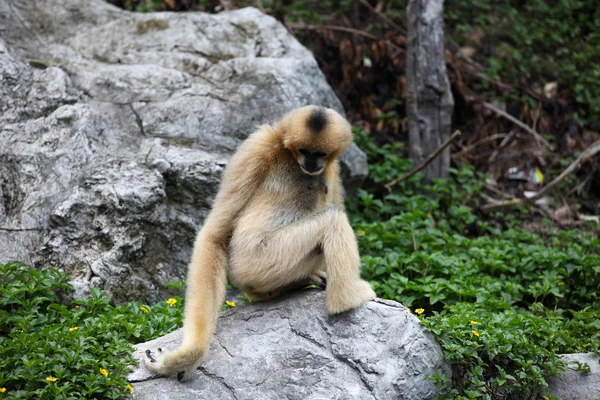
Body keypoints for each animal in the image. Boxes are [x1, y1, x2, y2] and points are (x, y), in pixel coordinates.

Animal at [144, 104, 376, 380]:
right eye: (304, 151)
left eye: (319, 153)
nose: (312, 162)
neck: (289, 155)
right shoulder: (258, 145)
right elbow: (214, 235)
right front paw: (189, 355)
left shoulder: (332, 167)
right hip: (257, 259)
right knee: (333, 219)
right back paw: (346, 300)